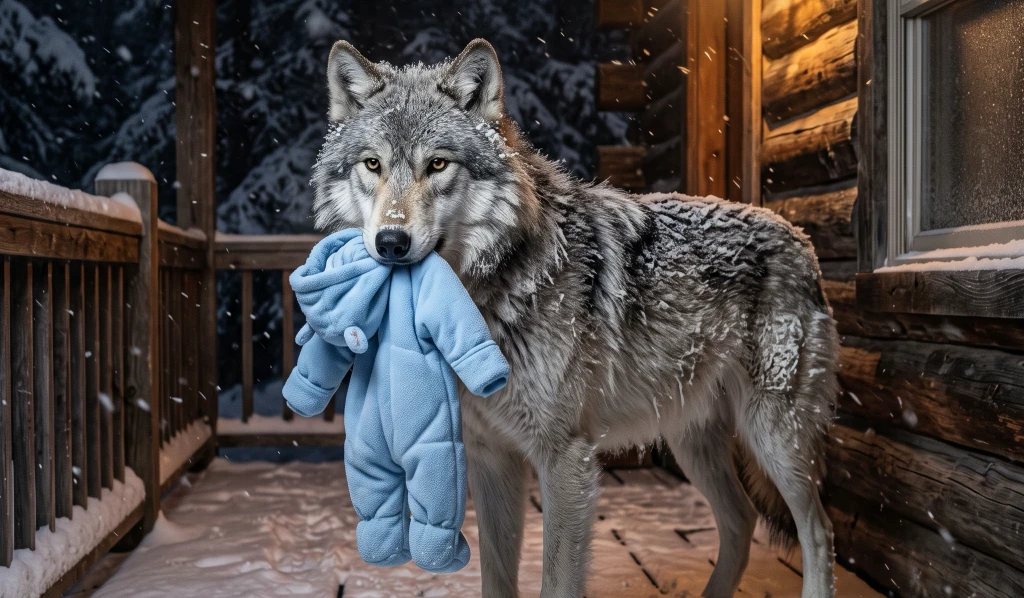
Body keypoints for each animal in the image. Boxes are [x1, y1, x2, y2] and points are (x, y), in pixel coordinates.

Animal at [310, 38, 839, 598]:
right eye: (372, 164)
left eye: (437, 164)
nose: (391, 241)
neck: (484, 303)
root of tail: (799, 236)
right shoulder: (491, 457)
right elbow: (497, 577)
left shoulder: (565, 458)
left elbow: (556, 581)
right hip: (691, 440)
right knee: (741, 519)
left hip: (775, 436)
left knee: (817, 530)